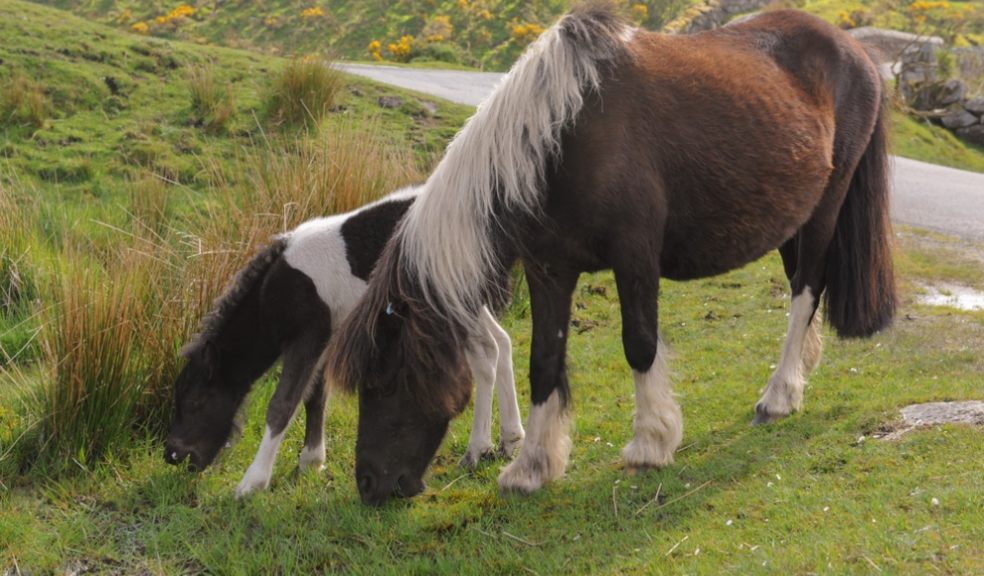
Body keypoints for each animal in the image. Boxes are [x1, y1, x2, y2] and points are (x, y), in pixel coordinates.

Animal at [165, 188, 528, 496]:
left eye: (196, 401)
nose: (173, 455)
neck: (276, 291)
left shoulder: (310, 332)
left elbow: (283, 403)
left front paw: (252, 483)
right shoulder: (328, 333)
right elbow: (315, 394)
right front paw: (312, 460)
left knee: (486, 352)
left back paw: (477, 450)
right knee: (502, 342)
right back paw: (510, 439)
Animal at [324, 3, 892, 504]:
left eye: (385, 378)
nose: (368, 485)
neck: (560, 139)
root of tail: (855, 50)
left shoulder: (634, 255)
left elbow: (640, 344)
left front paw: (650, 444)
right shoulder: (549, 269)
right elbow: (543, 362)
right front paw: (531, 467)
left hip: (825, 209)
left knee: (806, 291)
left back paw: (777, 396)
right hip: (792, 220)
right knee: (802, 291)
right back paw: (798, 378)